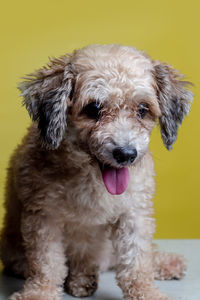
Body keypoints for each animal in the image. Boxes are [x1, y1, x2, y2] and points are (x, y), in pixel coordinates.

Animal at [0, 44, 193, 300]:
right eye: (93, 109)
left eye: (143, 110)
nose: (126, 154)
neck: (90, 178)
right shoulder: (43, 217)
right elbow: (47, 263)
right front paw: (39, 293)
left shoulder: (134, 213)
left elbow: (137, 260)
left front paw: (146, 291)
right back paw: (82, 278)